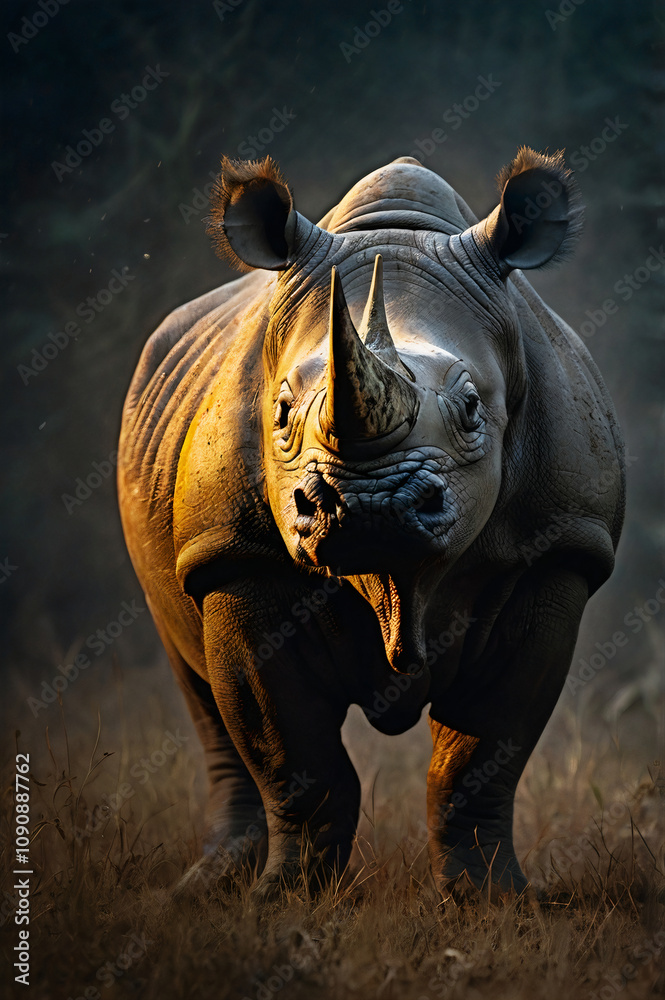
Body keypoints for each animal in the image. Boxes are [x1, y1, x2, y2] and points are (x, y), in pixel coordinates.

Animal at [117, 148, 624, 900]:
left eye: (472, 408)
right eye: (280, 413)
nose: (368, 507)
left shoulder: (558, 550)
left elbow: (480, 758)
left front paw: (490, 901)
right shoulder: (235, 556)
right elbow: (295, 758)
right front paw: (286, 900)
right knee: (198, 684)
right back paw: (206, 888)